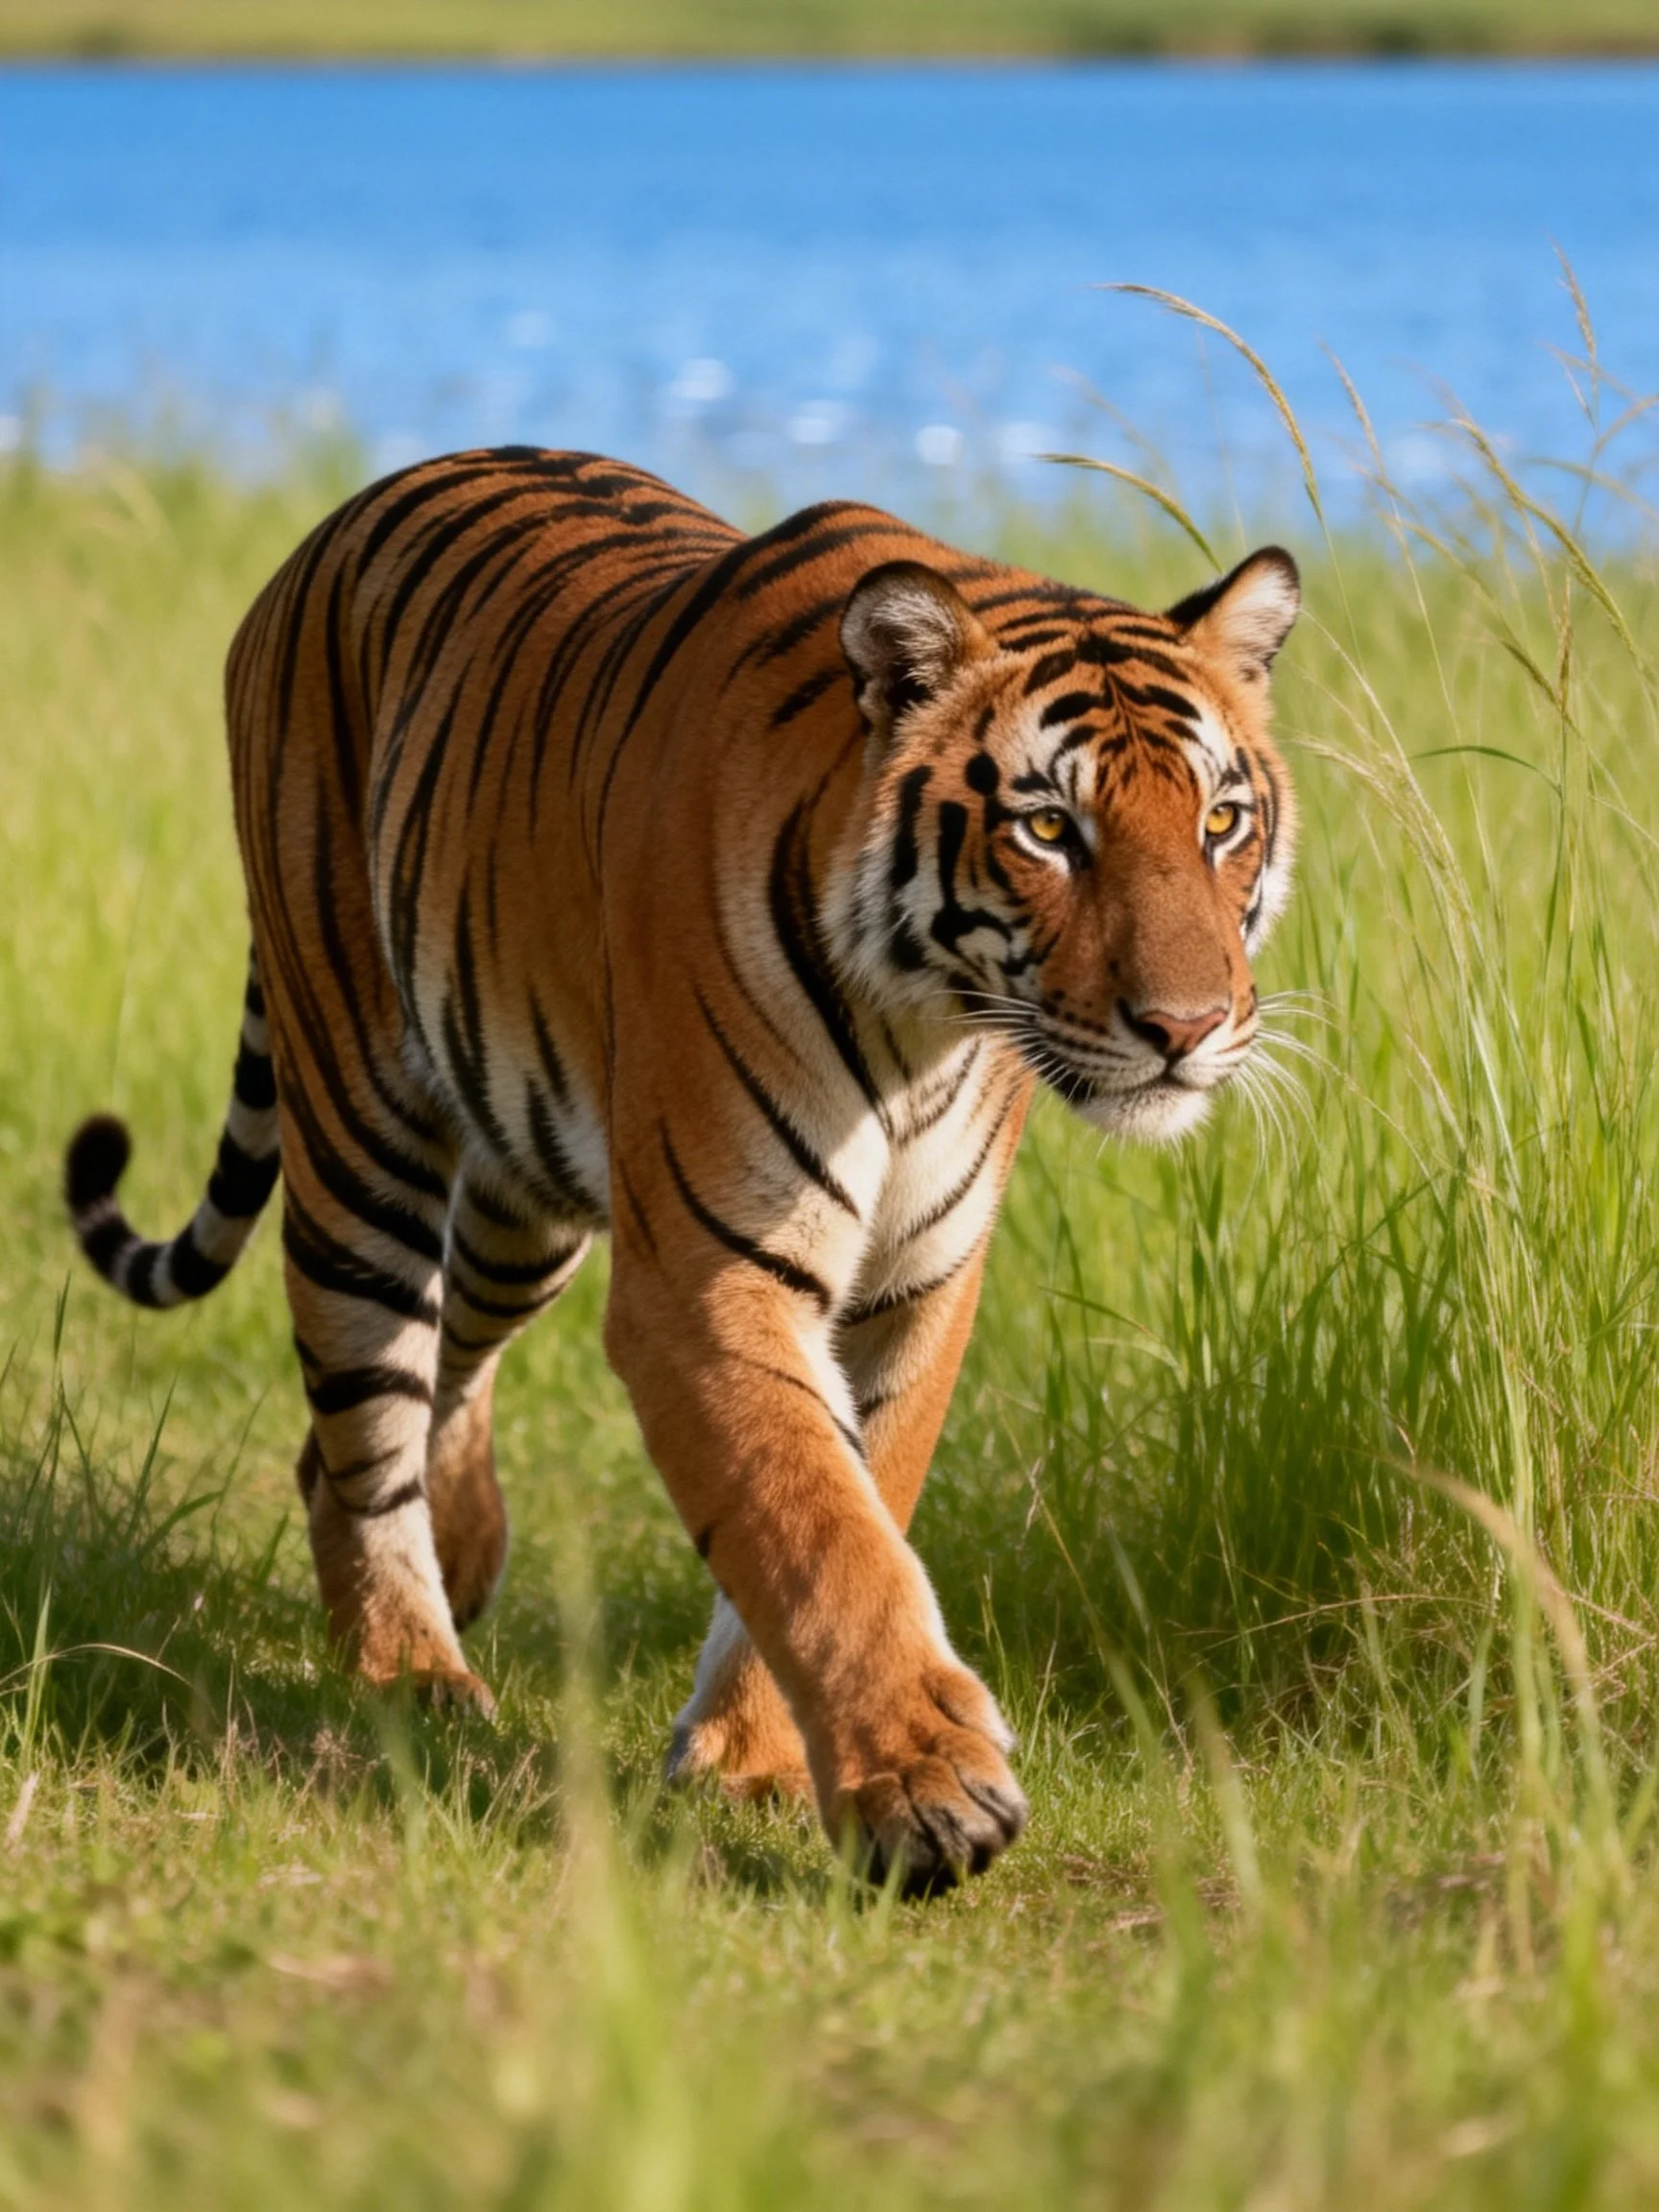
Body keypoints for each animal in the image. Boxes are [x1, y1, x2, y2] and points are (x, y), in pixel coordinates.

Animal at [65, 448, 1298, 1893]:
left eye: (1222, 819)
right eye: (1050, 828)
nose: (1188, 1028)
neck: (926, 1026)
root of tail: (338, 519)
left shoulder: (914, 1290)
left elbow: (855, 1494)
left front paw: (754, 1763)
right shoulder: (708, 1279)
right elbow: (814, 1526)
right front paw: (927, 1791)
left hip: (525, 1195)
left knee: (432, 1373)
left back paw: (460, 1562)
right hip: (360, 1126)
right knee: (365, 1412)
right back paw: (408, 1672)